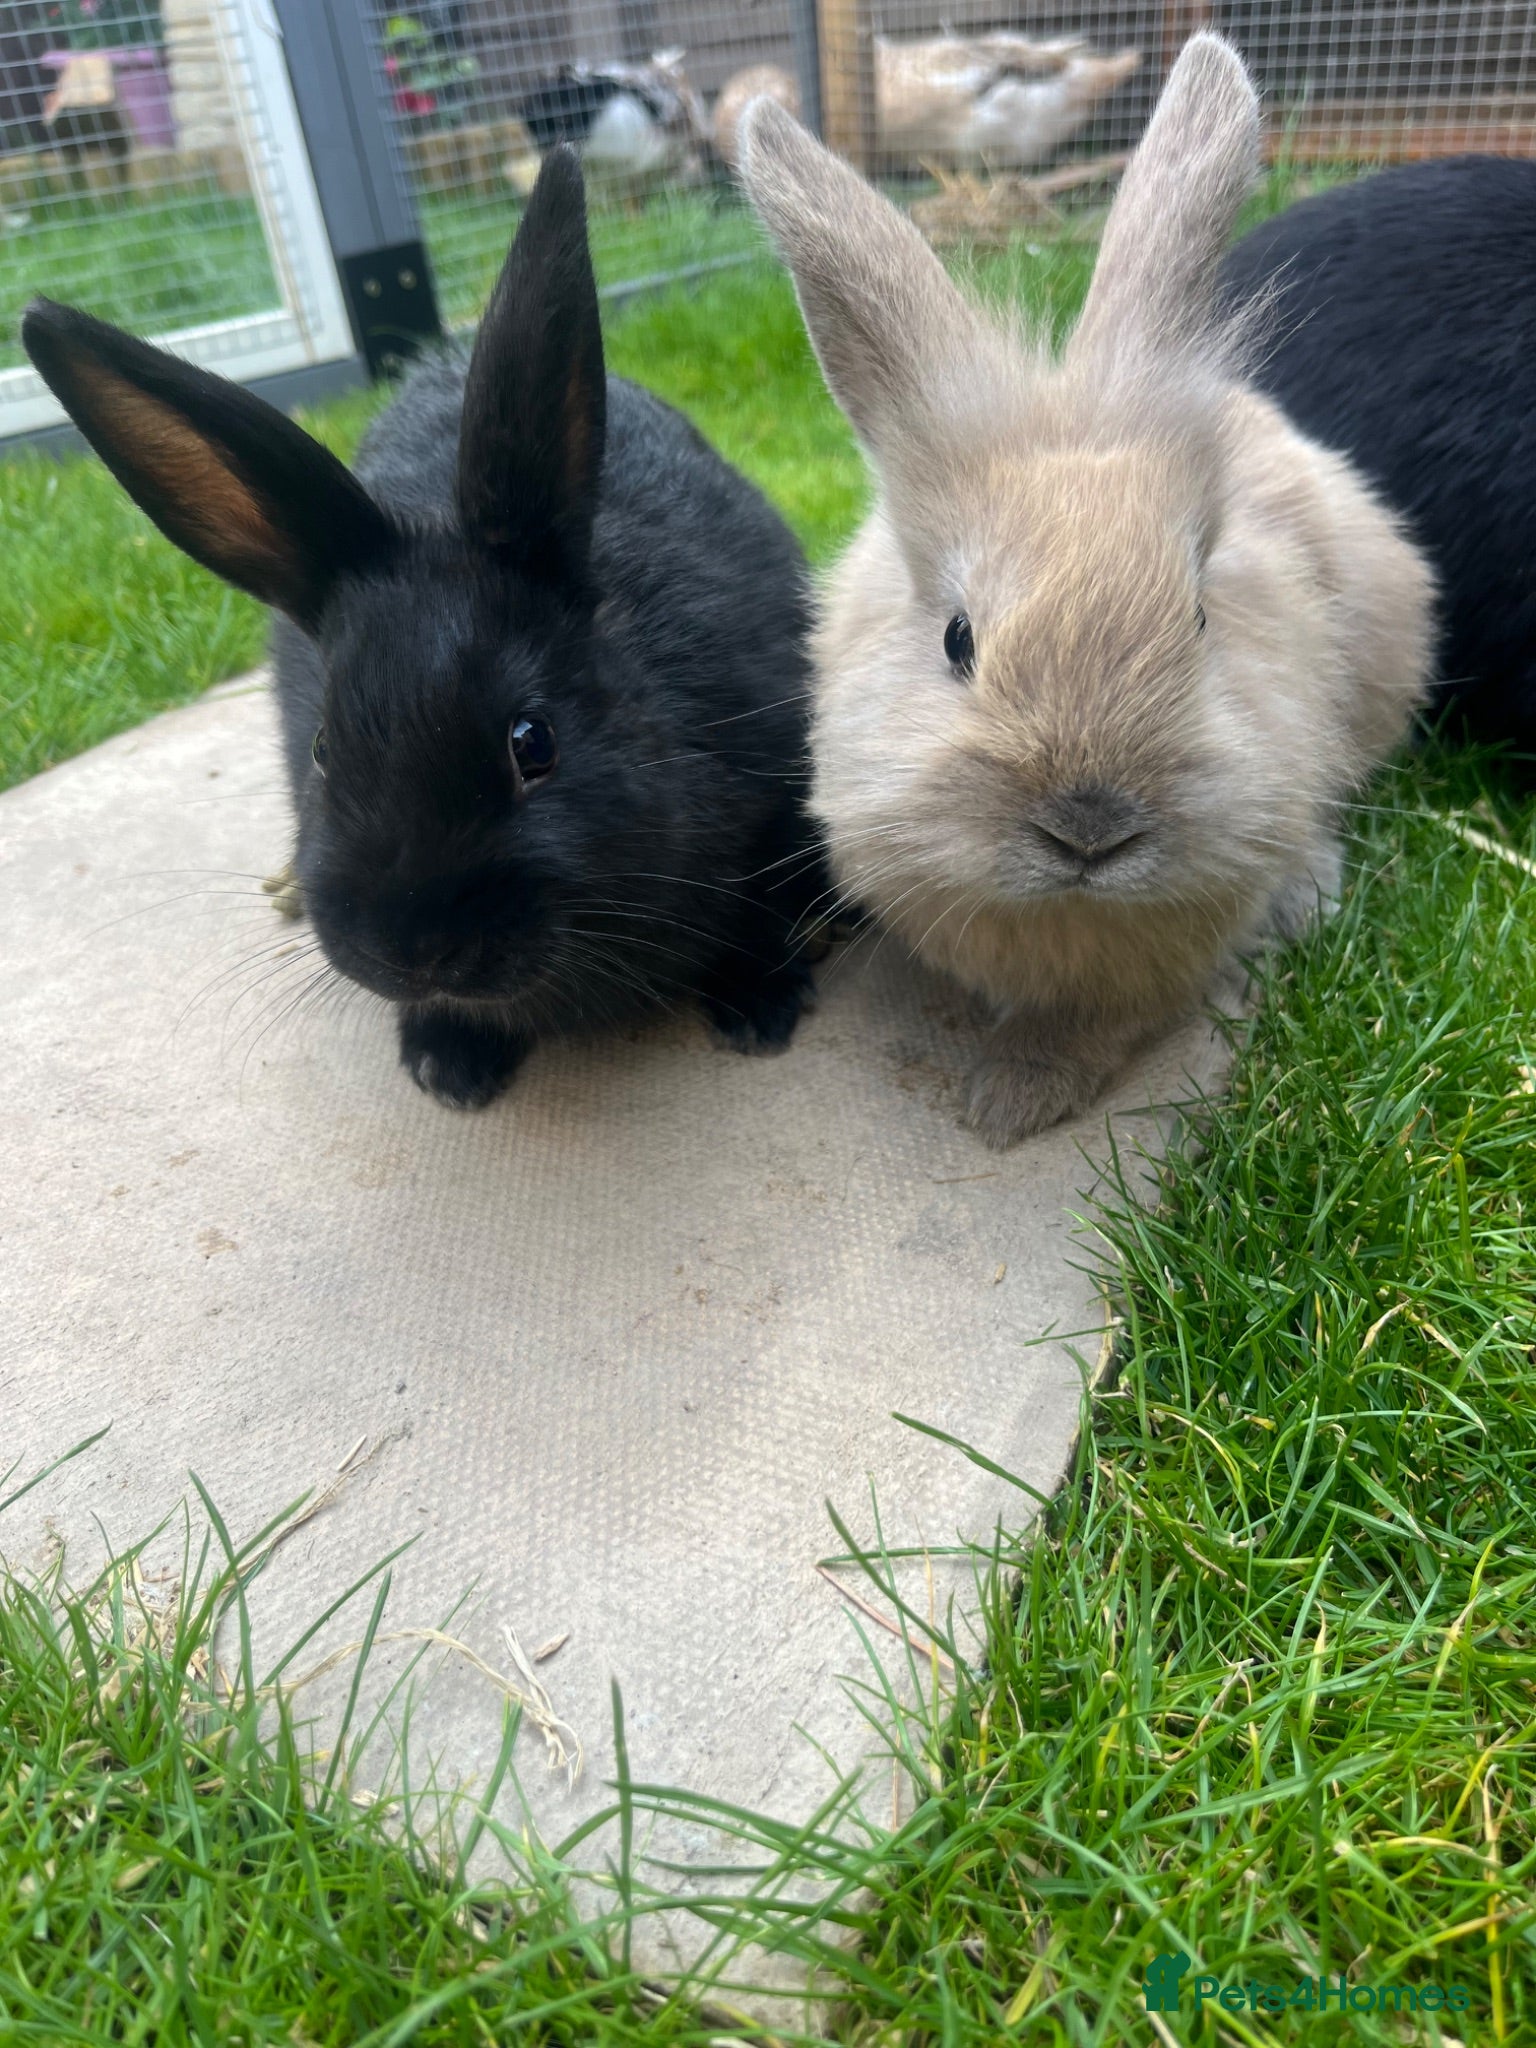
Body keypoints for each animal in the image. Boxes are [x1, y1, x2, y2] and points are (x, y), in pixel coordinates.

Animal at [23, 147, 827, 1111]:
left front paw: (758, 1011)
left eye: (533, 741)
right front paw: (447, 1069)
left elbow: (766, 914)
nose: (415, 951)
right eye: (324, 749)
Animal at [737, 34, 1434, 1149]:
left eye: (1199, 617)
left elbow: (1103, 1025)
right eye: (957, 639)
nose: (1091, 826)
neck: (1066, 914)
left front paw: (1009, 1099)